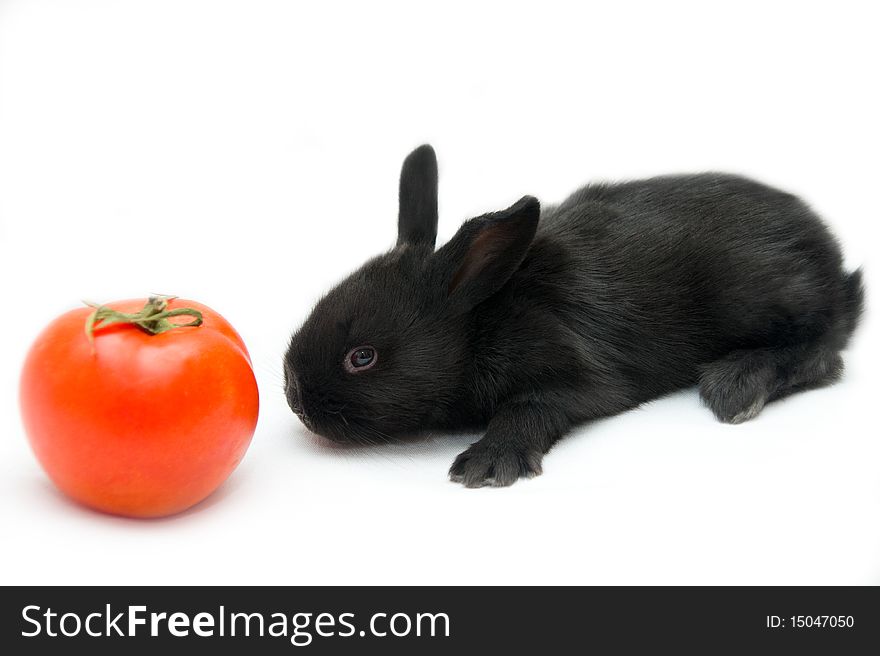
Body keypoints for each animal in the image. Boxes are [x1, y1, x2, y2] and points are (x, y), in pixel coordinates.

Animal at [286, 145, 864, 486]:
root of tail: (832, 258)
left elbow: (529, 408)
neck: (480, 321)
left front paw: (488, 463)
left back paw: (737, 385)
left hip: (761, 294)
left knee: (824, 350)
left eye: (362, 357)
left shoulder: (579, 377)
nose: (296, 400)